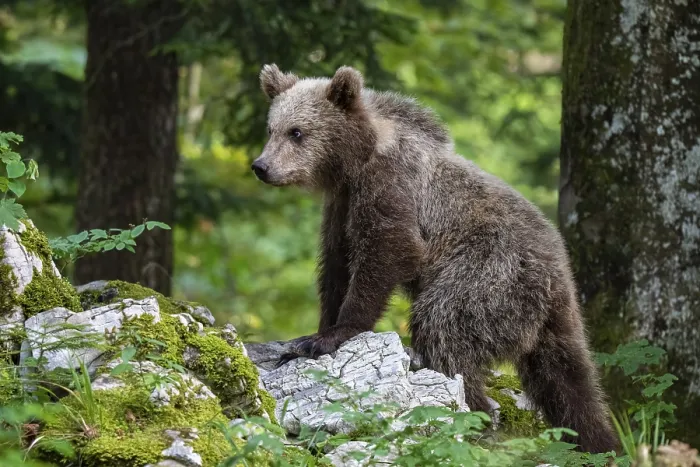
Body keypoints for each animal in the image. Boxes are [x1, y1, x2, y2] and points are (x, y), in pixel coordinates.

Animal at [251, 63, 619, 454]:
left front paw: (332, 335)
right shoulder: (341, 205)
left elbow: (386, 251)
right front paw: (314, 332)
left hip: (489, 273)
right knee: (566, 379)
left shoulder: (391, 186)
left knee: (443, 326)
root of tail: (559, 270)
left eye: (297, 132)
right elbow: (337, 266)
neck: (356, 161)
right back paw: (597, 439)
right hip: (548, 318)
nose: (261, 166)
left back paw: (475, 412)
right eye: (271, 129)